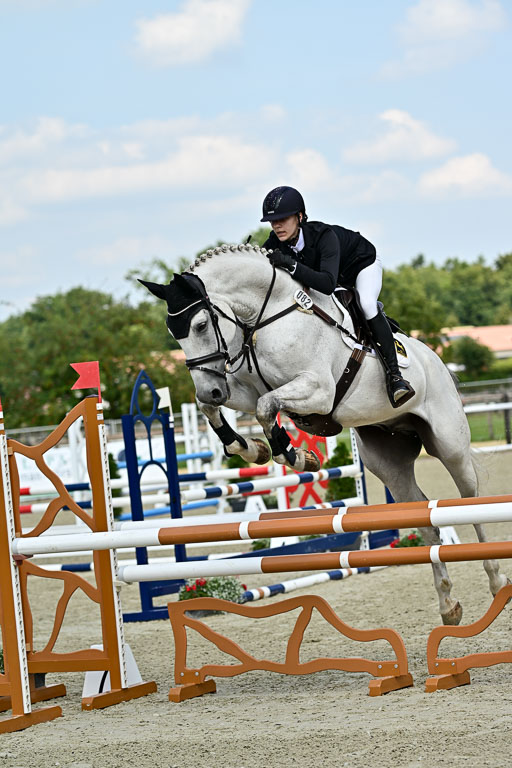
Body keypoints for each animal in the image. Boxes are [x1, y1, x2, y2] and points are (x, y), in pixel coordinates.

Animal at [140, 242, 508, 625]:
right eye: (174, 333)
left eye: (199, 325)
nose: (212, 388)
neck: (267, 316)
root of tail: (438, 363)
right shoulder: (246, 391)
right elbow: (217, 408)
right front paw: (253, 448)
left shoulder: (317, 390)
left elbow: (266, 408)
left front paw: (294, 455)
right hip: (388, 461)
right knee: (426, 521)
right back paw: (448, 605)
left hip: (450, 445)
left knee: (469, 501)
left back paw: (497, 581)